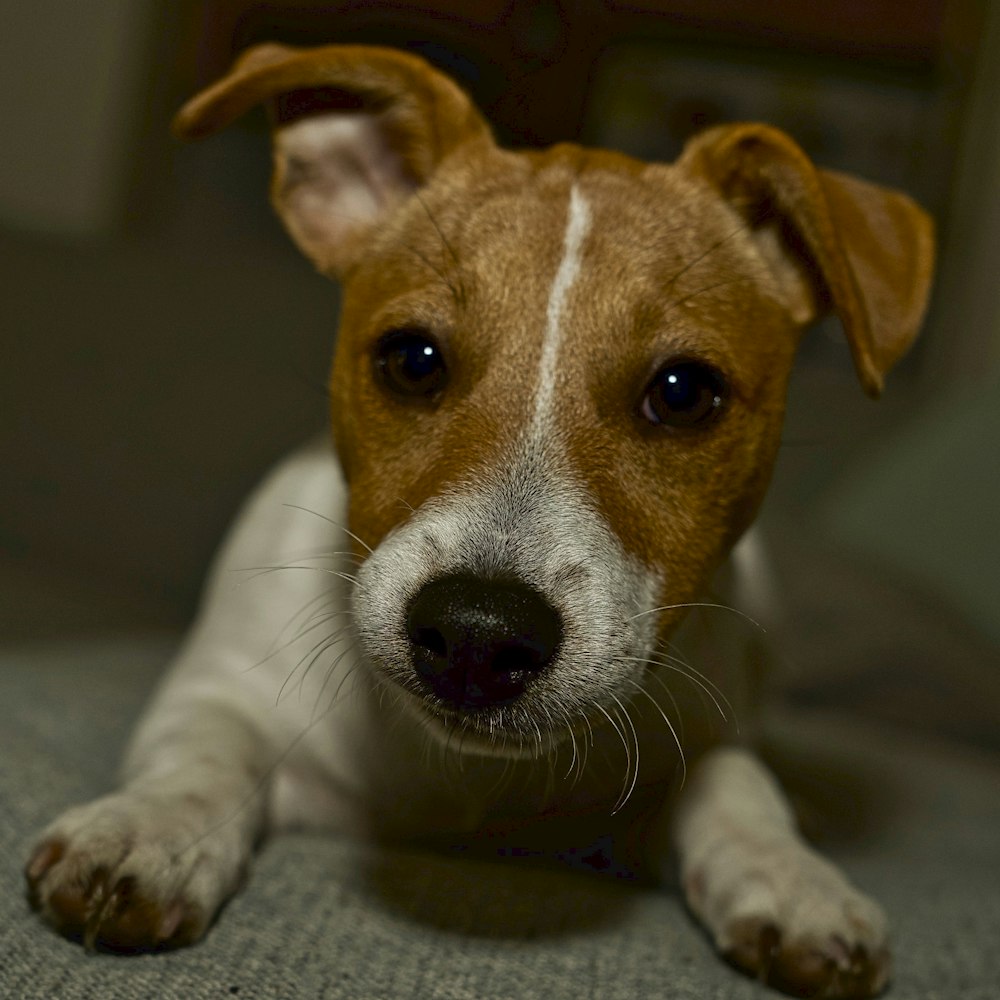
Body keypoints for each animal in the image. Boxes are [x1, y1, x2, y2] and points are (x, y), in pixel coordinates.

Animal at [23, 45, 932, 1000]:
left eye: (685, 393)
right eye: (412, 360)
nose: (476, 634)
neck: (463, 779)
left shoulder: (689, 758)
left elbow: (736, 784)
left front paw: (792, 876)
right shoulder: (222, 692)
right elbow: (201, 754)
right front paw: (145, 828)